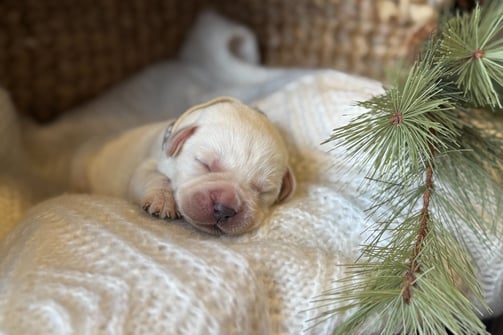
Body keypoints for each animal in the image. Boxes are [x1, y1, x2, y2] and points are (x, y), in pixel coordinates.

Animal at [73, 96, 298, 235]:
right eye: (204, 164)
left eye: (263, 190)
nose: (224, 209)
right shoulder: (149, 162)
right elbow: (154, 176)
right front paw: (162, 201)